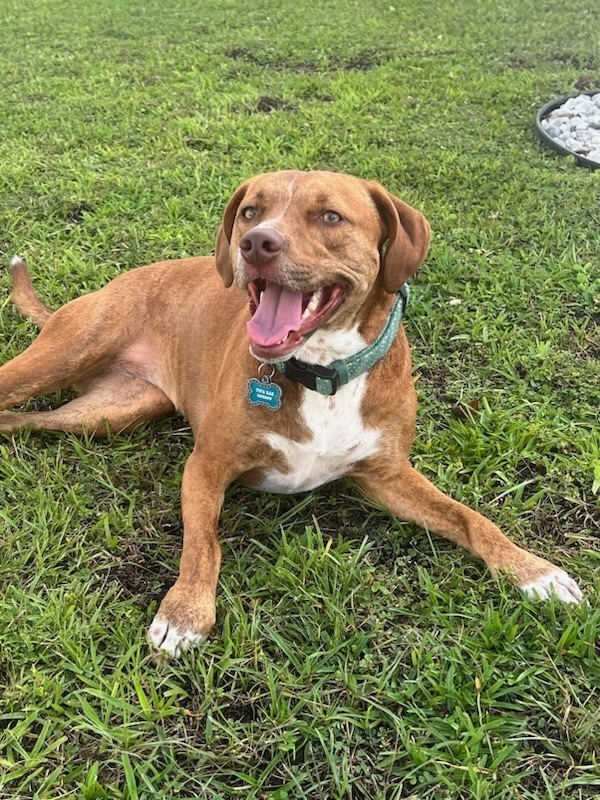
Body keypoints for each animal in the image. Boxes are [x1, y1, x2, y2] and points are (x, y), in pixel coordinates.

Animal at [0, 169, 580, 656]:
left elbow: (471, 517)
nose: (257, 242)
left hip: (112, 411)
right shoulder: (206, 467)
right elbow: (203, 542)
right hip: (63, 358)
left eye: (330, 216)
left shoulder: (387, 475)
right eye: (251, 211)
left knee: (19, 421)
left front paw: (534, 571)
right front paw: (185, 612)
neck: (322, 373)